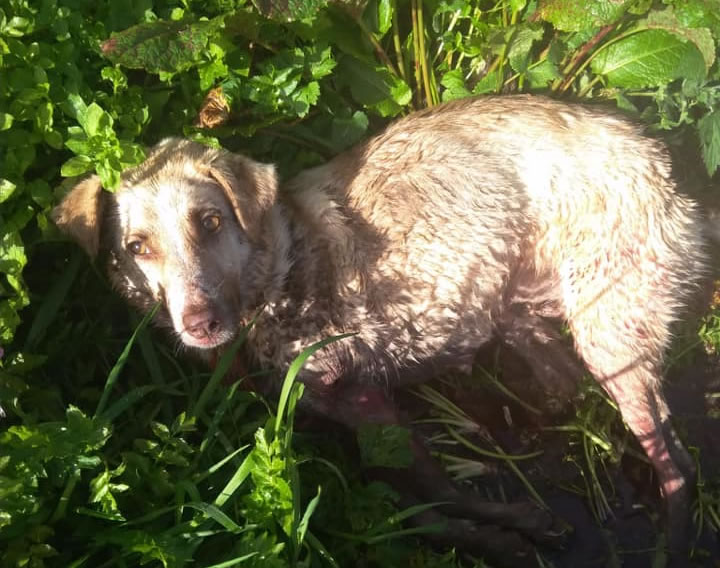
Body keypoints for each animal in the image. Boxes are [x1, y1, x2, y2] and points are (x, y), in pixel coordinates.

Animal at [54, 94, 708, 564]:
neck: (278, 270)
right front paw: (508, 531)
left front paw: (513, 530)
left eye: (211, 221)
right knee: (575, 393)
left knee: (677, 462)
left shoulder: (363, 397)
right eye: (137, 248)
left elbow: (437, 492)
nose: (200, 323)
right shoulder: (360, 409)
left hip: (612, 335)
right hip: (529, 318)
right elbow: (428, 494)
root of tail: (667, 167)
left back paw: (671, 540)